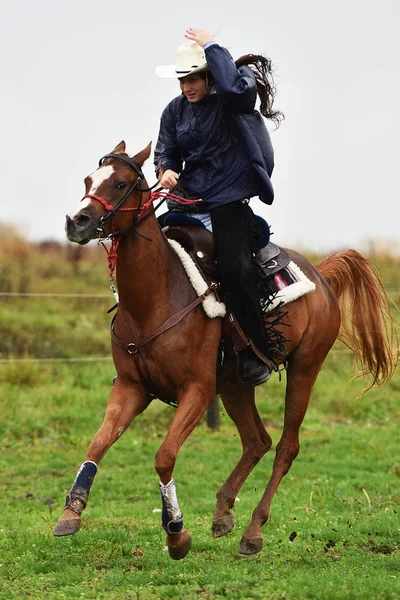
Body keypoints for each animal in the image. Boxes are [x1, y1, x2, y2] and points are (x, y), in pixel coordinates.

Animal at [55, 139, 396, 556]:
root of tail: (321, 274)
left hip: (305, 368)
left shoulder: (198, 391)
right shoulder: (131, 388)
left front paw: (177, 532)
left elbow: (164, 456)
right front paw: (70, 512)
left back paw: (253, 531)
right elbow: (97, 444)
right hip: (235, 385)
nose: (76, 221)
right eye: (89, 180)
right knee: (256, 440)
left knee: (286, 447)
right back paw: (223, 512)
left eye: (120, 183)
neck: (156, 297)